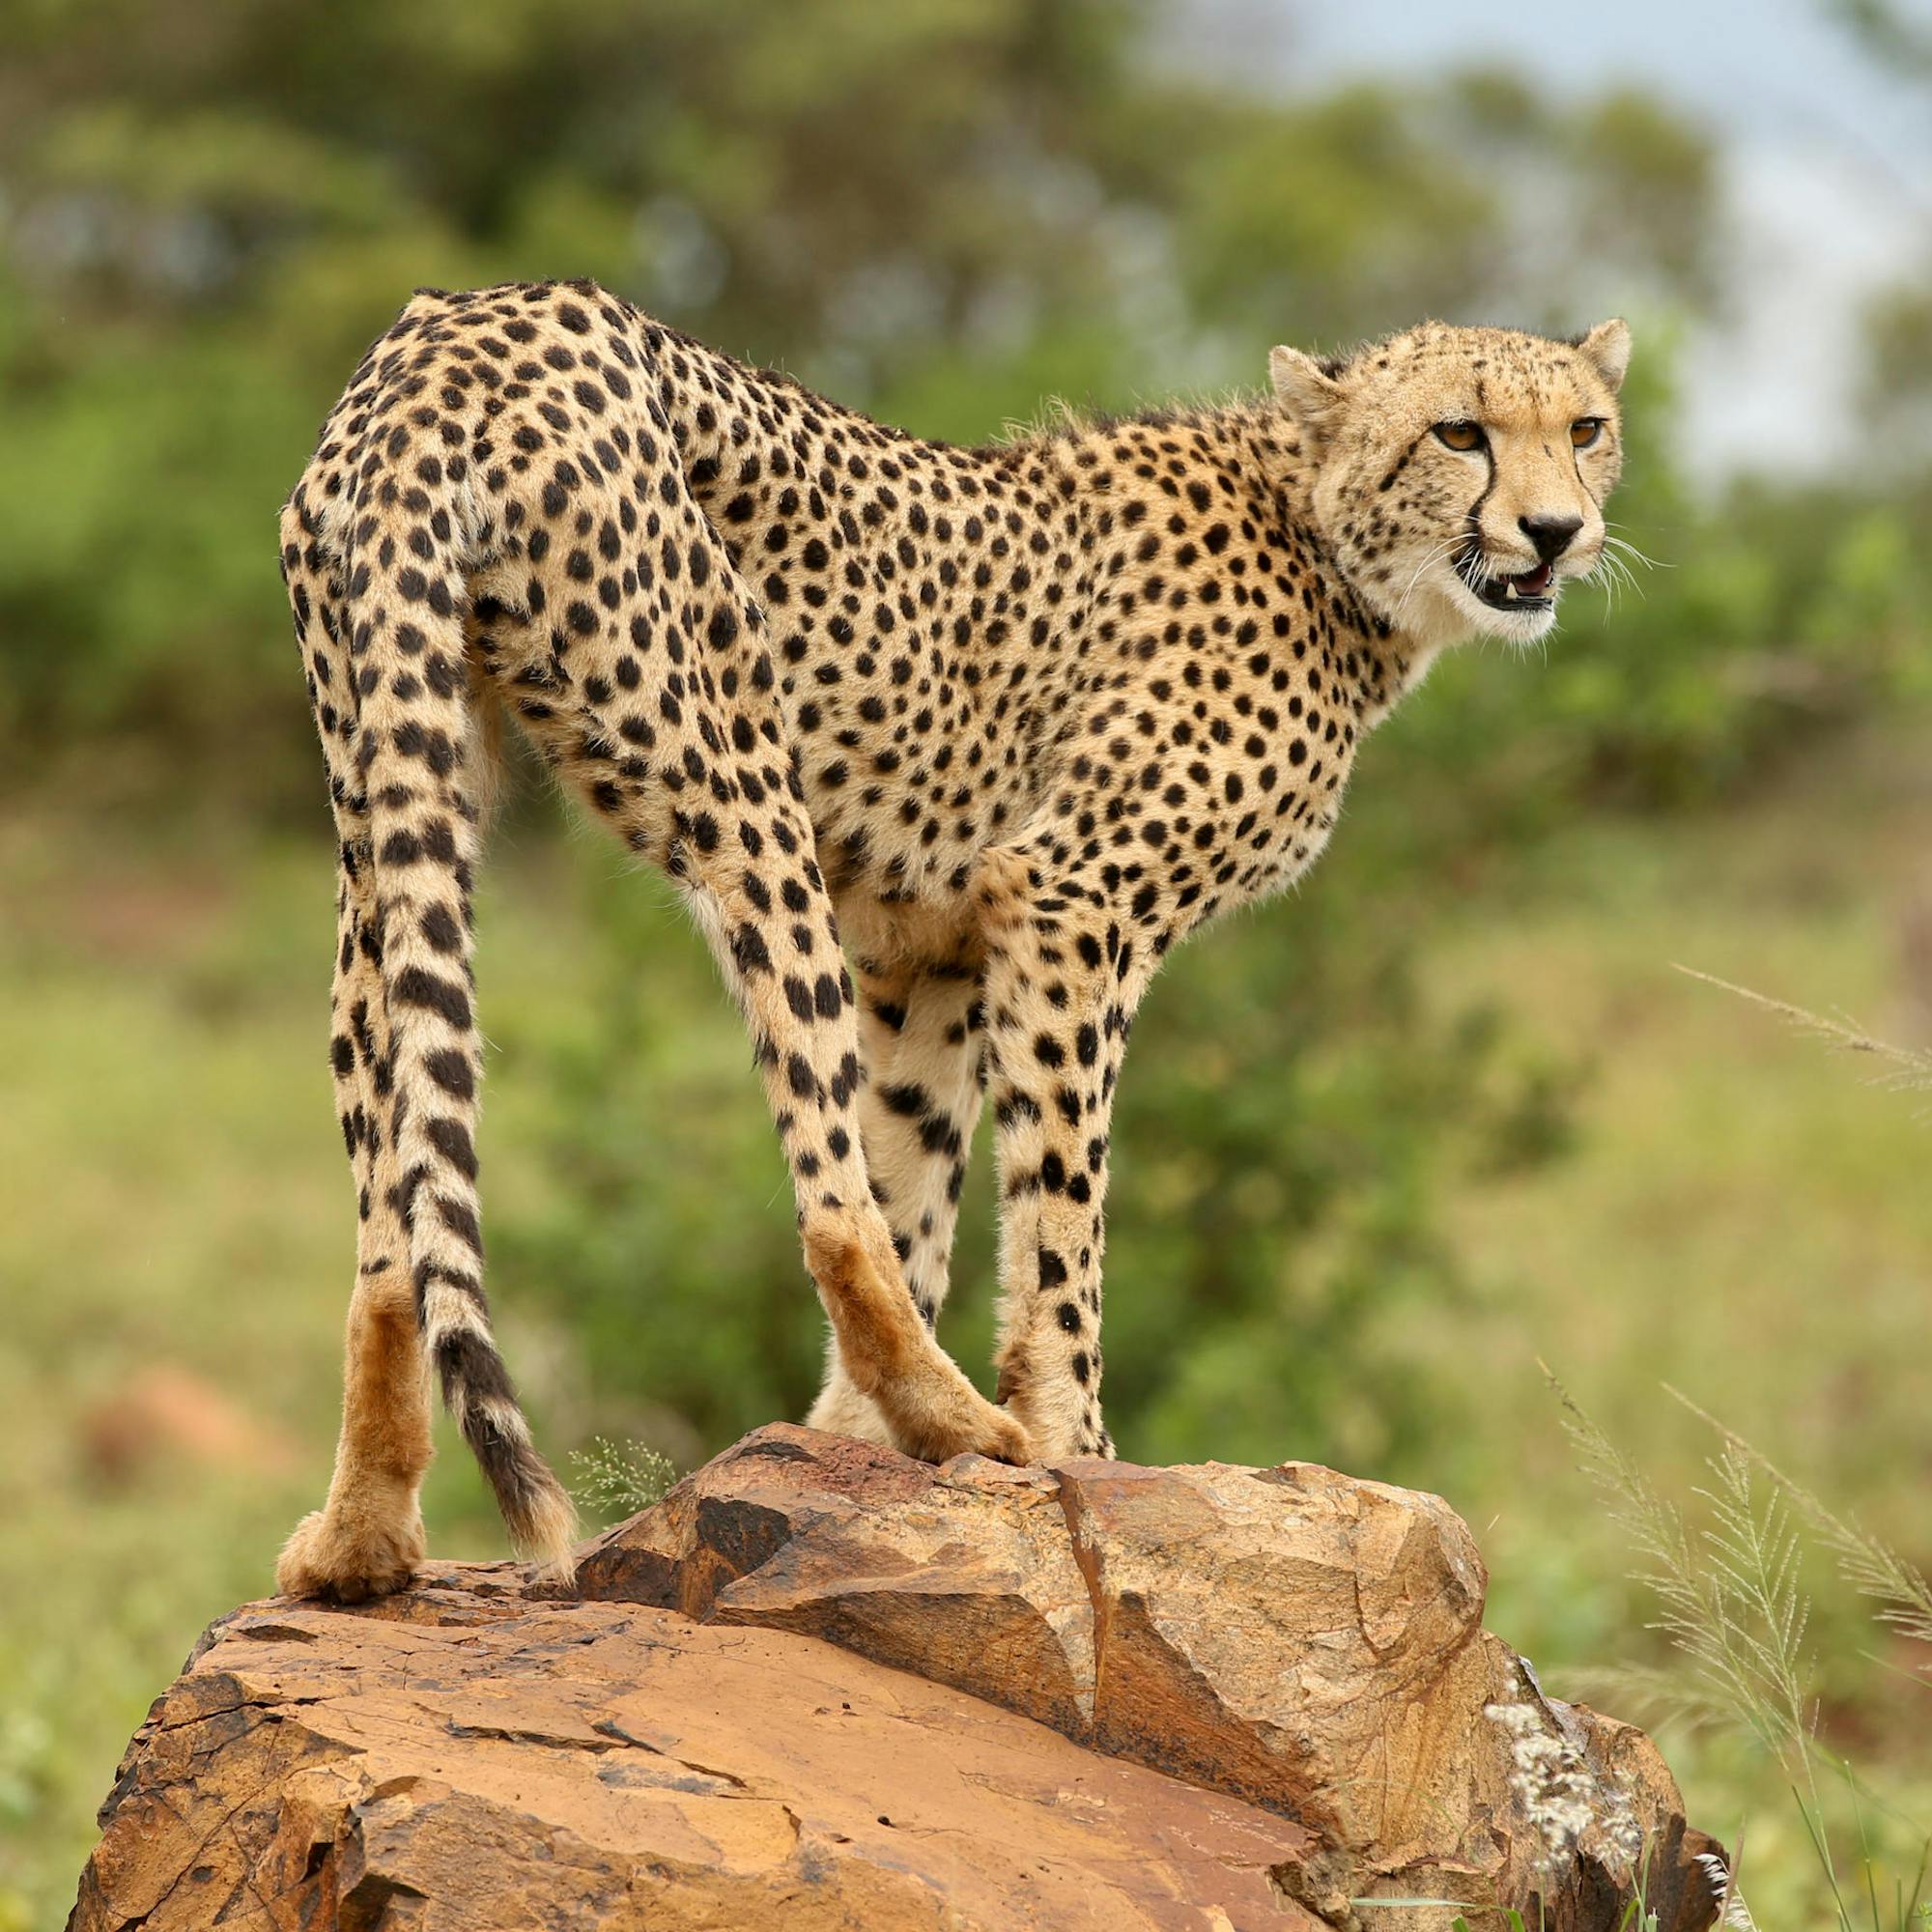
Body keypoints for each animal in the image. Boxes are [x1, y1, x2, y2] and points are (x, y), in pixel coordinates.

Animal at [273, 279, 1629, 1600]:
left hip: (387, 795)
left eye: (1582, 429)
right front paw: (1068, 1442)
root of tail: (455, 327)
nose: (1555, 532)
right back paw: (971, 1423)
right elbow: (1053, 1213)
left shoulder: (931, 951)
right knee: (827, 1203)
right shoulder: (1070, 895)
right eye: (1457, 432)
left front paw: (843, 1448)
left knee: (393, 1211)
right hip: (740, 780)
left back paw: (358, 1540)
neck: (1324, 541)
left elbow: (916, 1167)